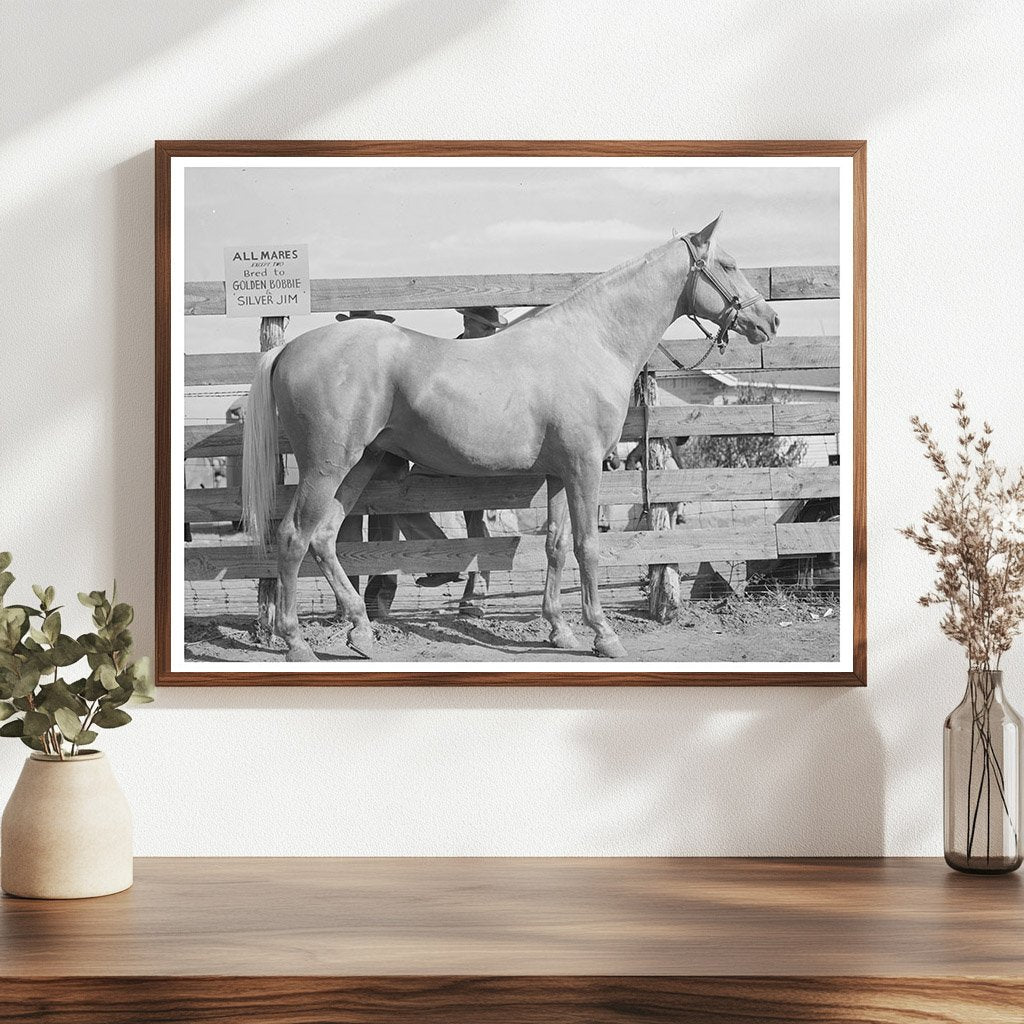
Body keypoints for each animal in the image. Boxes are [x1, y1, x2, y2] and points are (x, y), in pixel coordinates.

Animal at [242, 214, 780, 662]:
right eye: (729, 264)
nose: (769, 321)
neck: (589, 342)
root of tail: (288, 349)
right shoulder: (585, 467)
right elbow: (588, 546)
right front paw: (603, 635)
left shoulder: (560, 474)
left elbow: (557, 546)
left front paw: (560, 630)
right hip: (327, 466)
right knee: (294, 537)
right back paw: (296, 643)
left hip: (360, 464)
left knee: (324, 537)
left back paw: (360, 631)